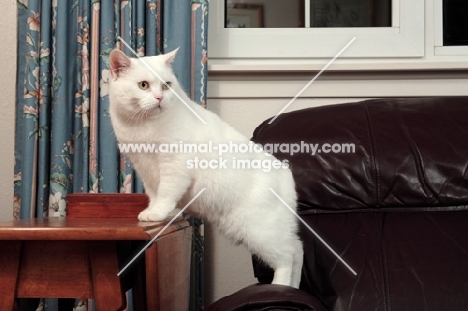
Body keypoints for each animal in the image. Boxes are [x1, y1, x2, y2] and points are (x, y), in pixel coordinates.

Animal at [107, 48, 304, 290]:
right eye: (143, 85)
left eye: (166, 85)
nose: (160, 98)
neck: (143, 126)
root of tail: (286, 174)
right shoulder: (144, 168)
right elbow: (155, 193)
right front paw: (162, 213)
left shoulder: (174, 165)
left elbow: (166, 192)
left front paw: (158, 214)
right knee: (298, 249)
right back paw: (292, 288)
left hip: (260, 232)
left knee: (287, 258)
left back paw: (280, 287)